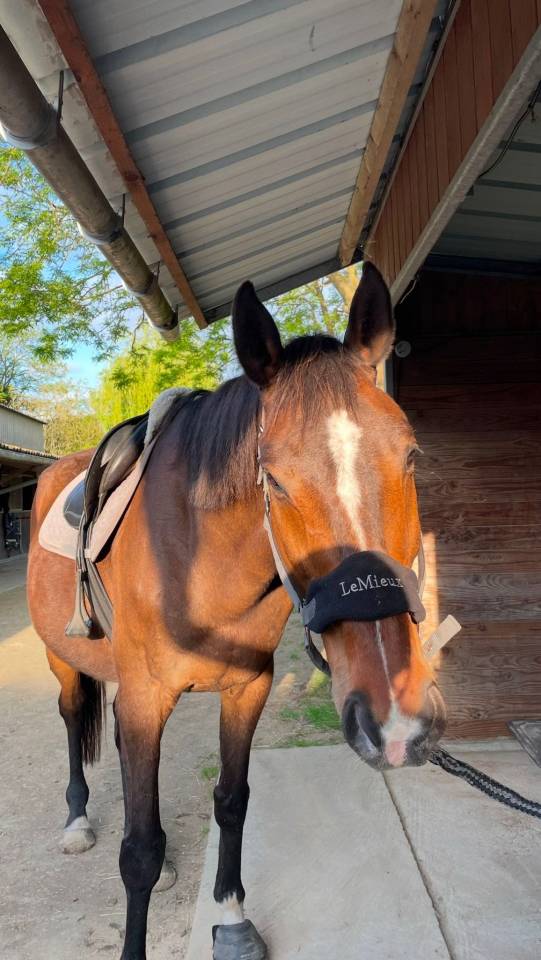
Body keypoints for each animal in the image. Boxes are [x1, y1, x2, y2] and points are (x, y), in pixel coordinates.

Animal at [27, 263, 446, 960]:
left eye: (411, 457)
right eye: (272, 480)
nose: (395, 722)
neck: (198, 562)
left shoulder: (246, 688)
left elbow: (231, 801)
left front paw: (231, 916)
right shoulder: (145, 697)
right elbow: (138, 851)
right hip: (66, 663)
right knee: (70, 719)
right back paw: (77, 818)